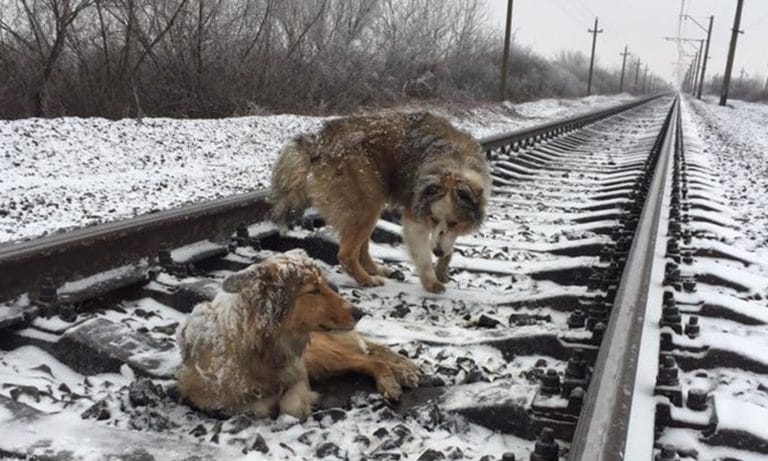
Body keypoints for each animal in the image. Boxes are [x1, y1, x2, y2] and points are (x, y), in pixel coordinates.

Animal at [176, 250, 420, 418]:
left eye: (324, 285)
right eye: (314, 290)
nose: (361, 313)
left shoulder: (299, 370)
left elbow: (289, 406)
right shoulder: (203, 395)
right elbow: (255, 407)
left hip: (322, 354)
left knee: (372, 359)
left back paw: (392, 381)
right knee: (369, 357)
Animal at [270, 111, 492, 292]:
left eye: (455, 222)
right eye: (433, 219)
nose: (436, 251)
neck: (453, 164)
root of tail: (319, 140)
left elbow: (448, 243)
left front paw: (442, 268)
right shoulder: (414, 215)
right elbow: (423, 254)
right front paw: (430, 280)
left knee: (362, 249)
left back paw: (379, 270)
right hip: (367, 202)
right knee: (346, 254)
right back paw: (367, 280)